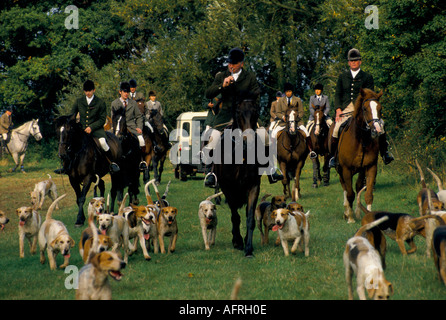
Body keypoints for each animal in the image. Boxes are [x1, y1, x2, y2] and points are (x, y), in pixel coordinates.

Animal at [213, 94, 262, 256]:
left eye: (255, 112)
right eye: (238, 112)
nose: (249, 142)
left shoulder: (253, 187)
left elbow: (250, 217)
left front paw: (248, 248)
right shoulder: (228, 189)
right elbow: (235, 217)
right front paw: (238, 241)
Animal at [332, 87, 386, 222]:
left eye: (380, 108)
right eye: (365, 109)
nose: (377, 130)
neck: (361, 140)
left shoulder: (370, 167)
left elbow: (368, 194)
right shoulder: (346, 169)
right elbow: (350, 194)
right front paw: (350, 218)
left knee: (357, 187)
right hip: (341, 171)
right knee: (346, 189)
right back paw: (347, 211)